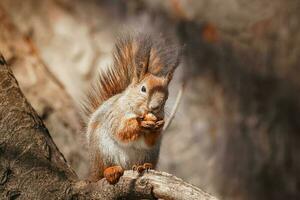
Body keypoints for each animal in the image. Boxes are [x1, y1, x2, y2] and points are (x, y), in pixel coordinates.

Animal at [82, 32, 180, 184]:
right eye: (143, 89)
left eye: (167, 96)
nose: (154, 107)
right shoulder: (115, 115)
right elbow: (121, 130)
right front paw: (141, 123)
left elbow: (150, 140)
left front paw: (158, 126)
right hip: (103, 150)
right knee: (104, 169)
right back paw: (111, 170)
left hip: (149, 154)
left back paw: (144, 166)